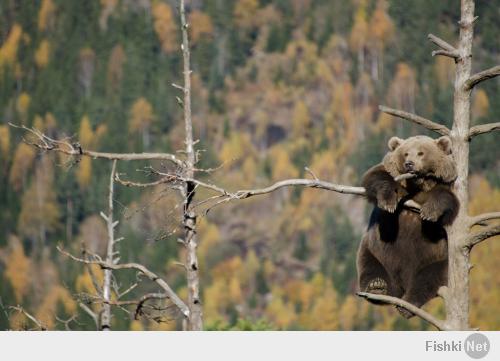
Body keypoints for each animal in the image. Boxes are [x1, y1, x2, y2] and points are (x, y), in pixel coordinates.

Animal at [358, 134, 458, 316]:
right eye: (405, 153)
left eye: (421, 153)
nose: (409, 164)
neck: (417, 184)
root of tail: (401, 286)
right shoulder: (391, 174)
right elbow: (376, 176)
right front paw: (388, 201)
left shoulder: (445, 185)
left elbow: (445, 198)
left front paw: (429, 212)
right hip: (374, 251)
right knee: (370, 267)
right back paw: (377, 287)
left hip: (440, 259)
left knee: (428, 278)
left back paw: (407, 304)